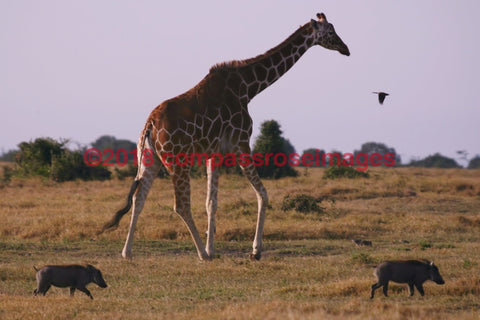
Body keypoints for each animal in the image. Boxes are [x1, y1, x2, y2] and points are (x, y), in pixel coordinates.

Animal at [102, 13, 348, 262]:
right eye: (330, 32)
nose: (345, 49)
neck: (249, 89)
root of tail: (150, 124)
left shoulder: (215, 153)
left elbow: (211, 202)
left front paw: (214, 247)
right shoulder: (241, 143)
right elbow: (263, 193)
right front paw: (255, 250)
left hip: (149, 157)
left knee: (138, 198)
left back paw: (127, 252)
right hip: (178, 160)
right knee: (180, 205)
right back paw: (201, 254)